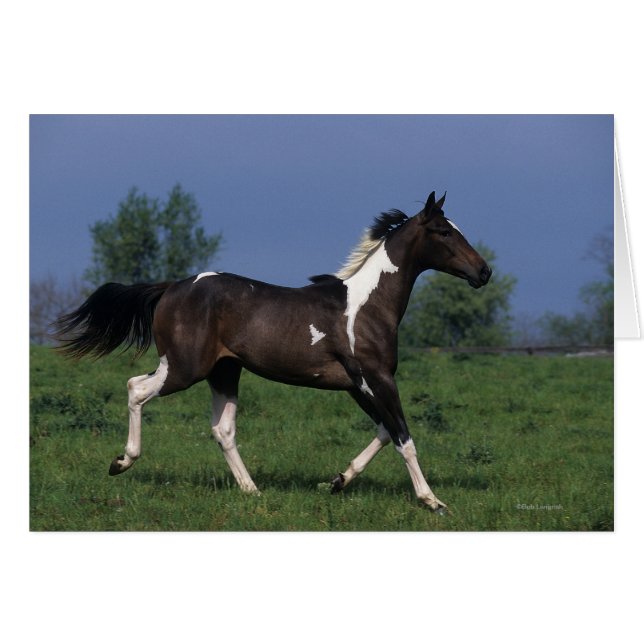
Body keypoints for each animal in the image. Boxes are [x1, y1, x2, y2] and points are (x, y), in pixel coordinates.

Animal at [55, 191, 491, 512]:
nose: (483, 272)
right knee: (136, 388)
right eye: (443, 231)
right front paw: (432, 501)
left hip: (224, 371)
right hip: (184, 368)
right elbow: (404, 437)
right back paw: (121, 462)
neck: (367, 306)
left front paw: (337, 481)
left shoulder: (357, 385)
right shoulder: (376, 379)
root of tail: (171, 287)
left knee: (222, 429)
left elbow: (385, 432)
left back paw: (252, 490)